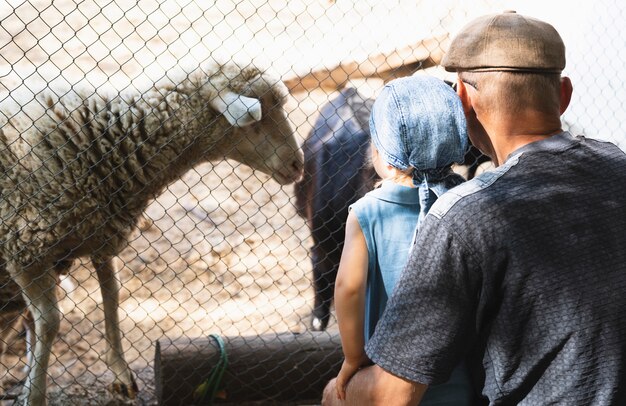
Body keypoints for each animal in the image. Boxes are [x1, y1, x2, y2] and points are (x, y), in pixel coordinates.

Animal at [0, 61, 302, 406]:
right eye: (259, 117)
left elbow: (112, 297)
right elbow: (49, 322)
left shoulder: (101, 233)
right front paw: (35, 395)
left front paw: (120, 373)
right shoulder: (25, 249)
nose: (299, 165)